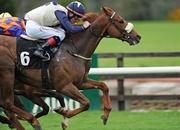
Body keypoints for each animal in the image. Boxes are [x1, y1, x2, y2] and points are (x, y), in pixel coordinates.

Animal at [0, 7, 141, 130]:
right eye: (120, 21)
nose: (138, 37)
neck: (74, 50)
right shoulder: (64, 86)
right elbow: (86, 102)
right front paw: (63, 113)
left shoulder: (80, 82)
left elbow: (103, 86)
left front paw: (105, 114)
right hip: (7, 75)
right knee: (7, 103)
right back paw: (32, 120)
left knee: (8, 108)